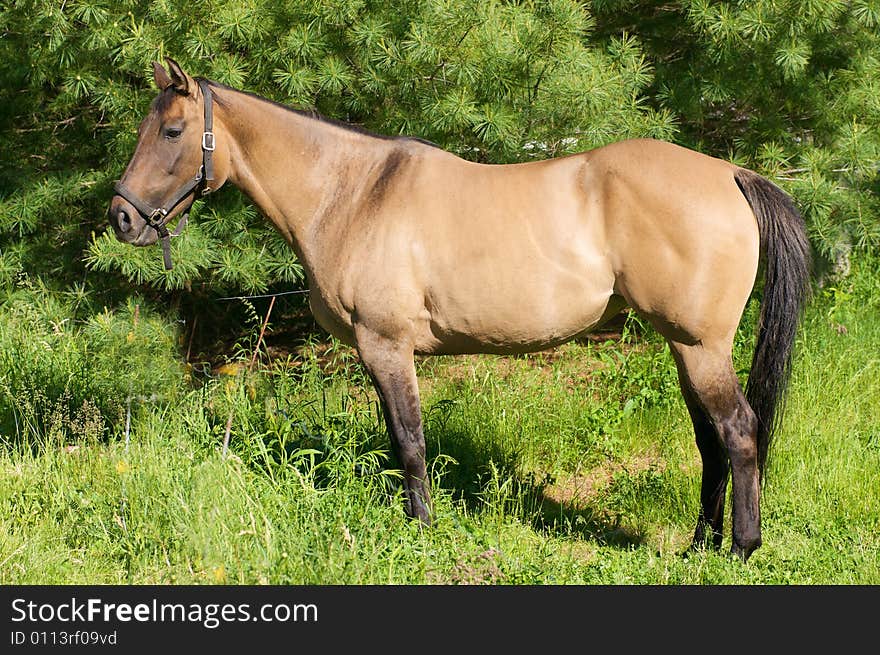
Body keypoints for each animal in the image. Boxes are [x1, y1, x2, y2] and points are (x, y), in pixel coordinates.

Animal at [108, 59, 812, 564]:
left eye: (172, 132)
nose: (121, 218)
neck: (353, 192)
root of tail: (729, 173)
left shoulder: (386, 345)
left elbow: (409, 441)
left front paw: (421, 531)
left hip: (699, 346)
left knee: (738, 431)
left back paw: (741, 549)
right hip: (685, 347)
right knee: (710, 440)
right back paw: (699, 546)